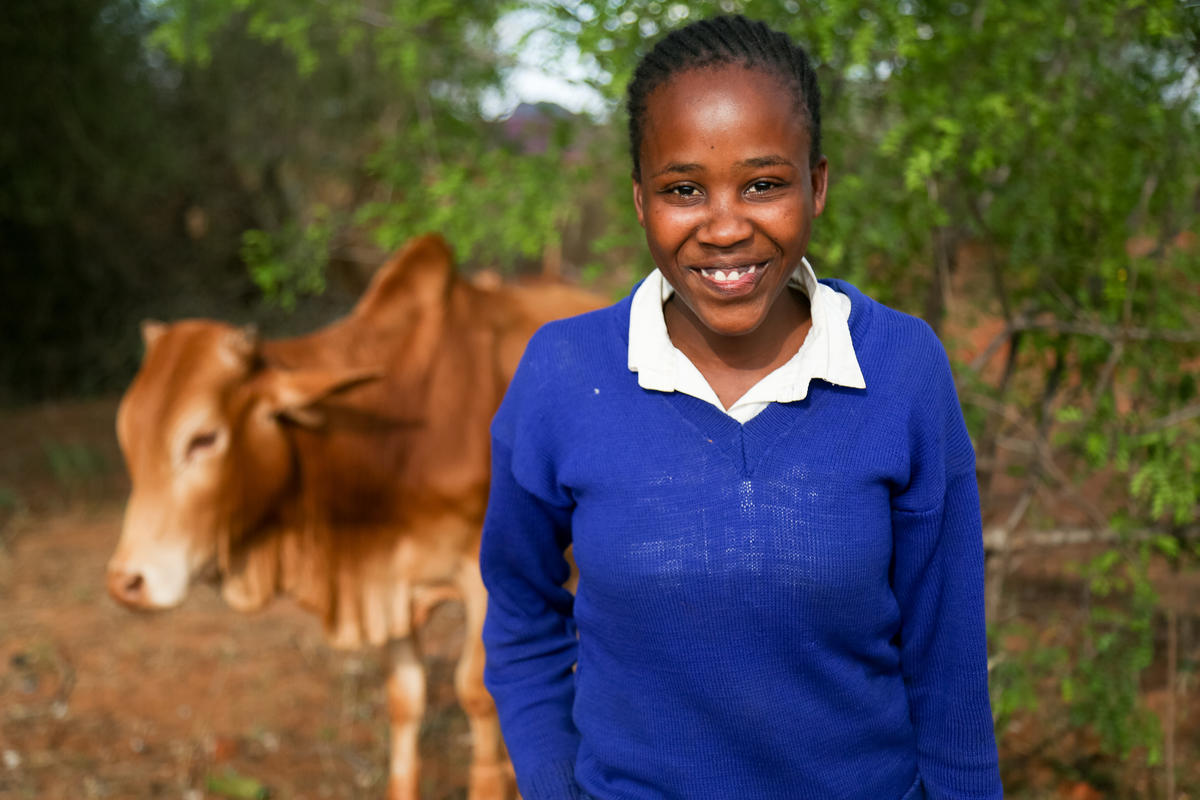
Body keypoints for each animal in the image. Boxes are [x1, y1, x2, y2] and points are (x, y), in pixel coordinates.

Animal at [106, 234, 605, 800]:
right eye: (127, 433)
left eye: (204, 438)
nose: (127, 582)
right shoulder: (387, 583)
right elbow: (405, 698)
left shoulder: (488, 578)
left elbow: (480, 693)